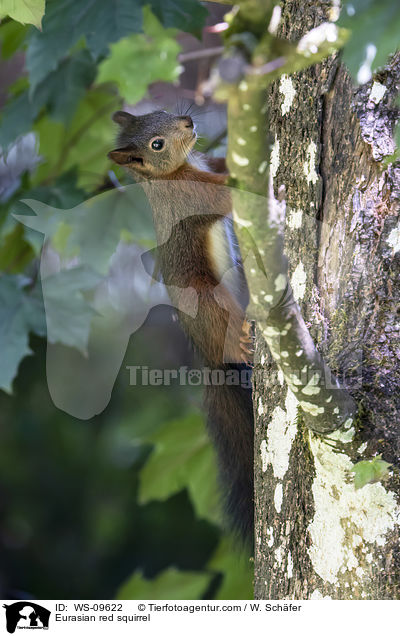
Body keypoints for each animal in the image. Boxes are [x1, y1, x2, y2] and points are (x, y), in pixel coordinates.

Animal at [108, 110, 255, 540]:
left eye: (159, 113)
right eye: (156, 144)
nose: (188, 121)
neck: (170, 174)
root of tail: (208, 357)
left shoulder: (207, 165)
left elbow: (224, 165)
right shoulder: (193, 195)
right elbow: (228, 195)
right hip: (208, 301)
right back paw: (242, 341)